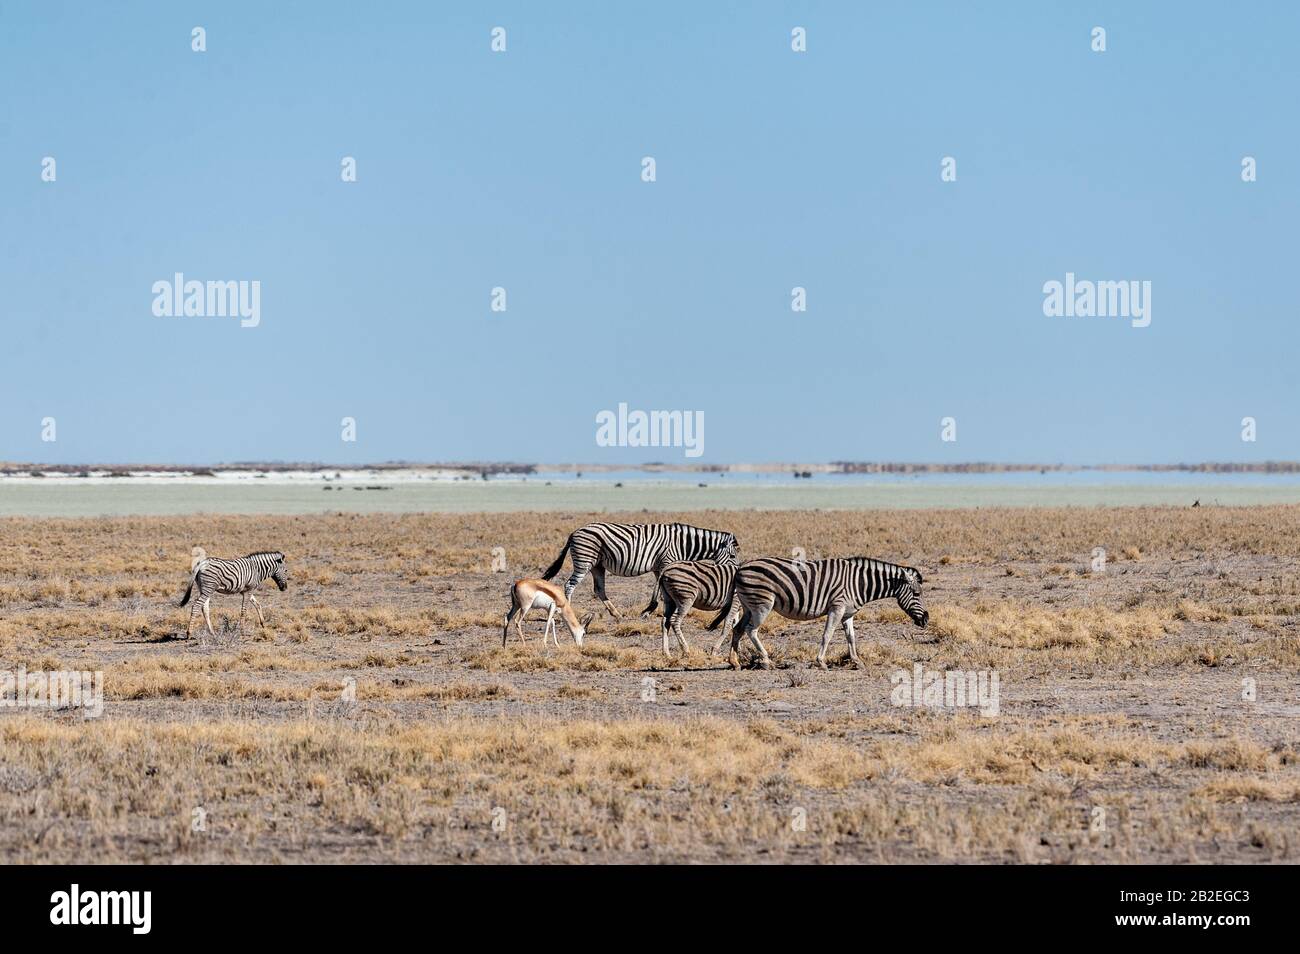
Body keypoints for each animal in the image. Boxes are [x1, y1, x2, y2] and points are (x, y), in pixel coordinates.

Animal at [540, 522, 743, 621]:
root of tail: (574, 531)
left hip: (597, 565)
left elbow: (658, 589)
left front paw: (650, 610)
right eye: (733, 556)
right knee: (570, 585)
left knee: (599, 589)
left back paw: (617, 614)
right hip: (585, 561)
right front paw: (648, 611)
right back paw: (566, 611)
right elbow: (658, 590)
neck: (683, 543)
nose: (736, 571)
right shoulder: (666, 562)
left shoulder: (659, 566)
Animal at [707, 561, 930, 670]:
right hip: (763, 604)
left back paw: (734, 662)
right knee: (750, 630)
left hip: (748, 605)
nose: (926, 620)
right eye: (916, 594)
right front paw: (821, 662)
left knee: (737, 629)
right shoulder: (837, 607)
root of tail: (740, 568)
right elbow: (827, 635)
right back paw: (767, 661)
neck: (859, 583)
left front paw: (856, 661)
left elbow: (851, 637)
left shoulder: (847, 613)